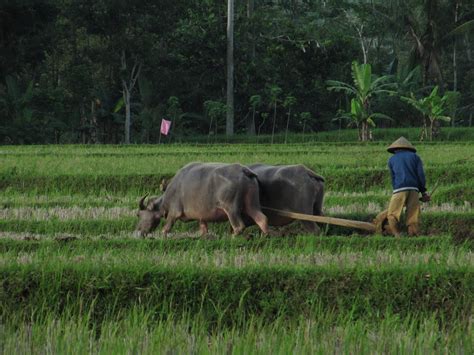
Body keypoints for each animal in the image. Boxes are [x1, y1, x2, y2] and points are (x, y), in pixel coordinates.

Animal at [137, 163, 268, 236]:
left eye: (139, 214)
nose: (139, 232)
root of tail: (245, 171)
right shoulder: (201, 217)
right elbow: (204, 229)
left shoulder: (174, 212)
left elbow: (166, 229)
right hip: (252, 203)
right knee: (262, 219)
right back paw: (266, 237)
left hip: (231, 208)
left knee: (239, 226)